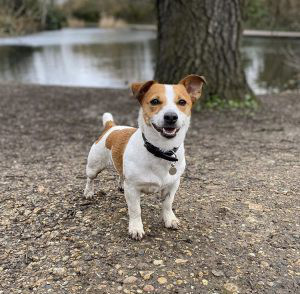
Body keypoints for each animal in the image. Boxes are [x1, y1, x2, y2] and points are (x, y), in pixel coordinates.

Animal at [84, 74, 206, 240]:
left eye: (182, 102)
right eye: (154, 101)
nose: (171, 116)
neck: (161, 150)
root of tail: (112, 126)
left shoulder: (173, 185)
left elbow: (167, 204)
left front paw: (170, 219)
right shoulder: (133, 189)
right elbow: (135, 210)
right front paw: (136, 228)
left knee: (120, 173)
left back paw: (120, 185)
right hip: (94, 166)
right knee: (90, 179)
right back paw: (88, 192)